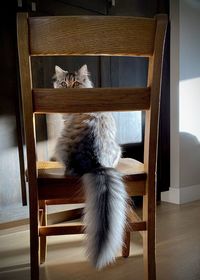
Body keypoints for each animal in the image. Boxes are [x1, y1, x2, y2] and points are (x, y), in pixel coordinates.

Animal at [52, 64, 126, 270]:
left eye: (75, 83)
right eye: (64, 84)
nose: (69, 91)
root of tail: (96, 160)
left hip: (60, 144)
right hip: (119, 149)